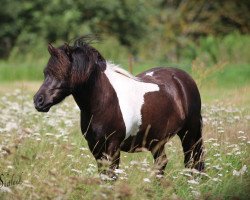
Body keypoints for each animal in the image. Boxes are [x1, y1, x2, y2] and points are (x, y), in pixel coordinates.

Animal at [33, 37, 205, 180]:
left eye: (64, 73)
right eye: (45, 72)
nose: (38, 101)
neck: (103, 103)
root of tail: (183, 79)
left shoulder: (113, 145)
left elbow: (111, 174)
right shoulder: (95, 146)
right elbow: (104, 174)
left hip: (189, 133)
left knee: (191, 162)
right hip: (156, 140)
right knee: (161, 162)